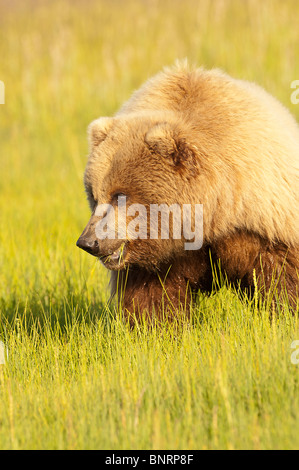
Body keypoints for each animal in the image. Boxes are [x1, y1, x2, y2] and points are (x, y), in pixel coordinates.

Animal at [78, 61, 299, 320]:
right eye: (94, 196)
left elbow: (281, 276)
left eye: (120, 196)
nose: (88, 241)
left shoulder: (263, 222)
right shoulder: (160, 260)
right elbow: (153, 298)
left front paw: (283, 313)